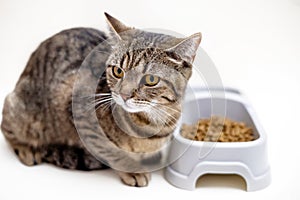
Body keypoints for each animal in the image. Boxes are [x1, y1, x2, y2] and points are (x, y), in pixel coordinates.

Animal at [1, 12, 202, 186]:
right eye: (118, 71)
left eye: (151, 80)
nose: (124, 94)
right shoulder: (80, 114)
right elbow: (112, 151)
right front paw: (132, 169)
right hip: (24, 115)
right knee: (7, 125)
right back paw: (27, 149)